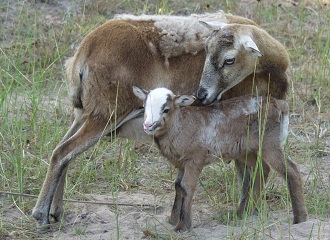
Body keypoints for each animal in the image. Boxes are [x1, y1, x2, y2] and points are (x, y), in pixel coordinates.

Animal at [31, 12, 288, 228]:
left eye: (229, 59)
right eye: (206, 50)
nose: (201, 95)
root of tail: (85, 49)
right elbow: (248, 172)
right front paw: (247, 212)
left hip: (85, 113)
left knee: (63, 152)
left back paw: (56, 212)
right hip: (106, 114)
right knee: (63, 152)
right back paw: (41, 214)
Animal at [133, 86, 308, 231]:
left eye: (166, 109)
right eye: (144, 107)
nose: (148, 126)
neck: (180, 127)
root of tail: (281, 105)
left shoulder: (195, 158)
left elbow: (186, 186)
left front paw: (183, 226)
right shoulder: (182, 163)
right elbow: (178, 186)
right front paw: (173, 220)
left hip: (270, 144)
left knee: (291, 170)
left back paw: (300, 218)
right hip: (247, 150)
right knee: (262, 170)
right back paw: (242, 213)